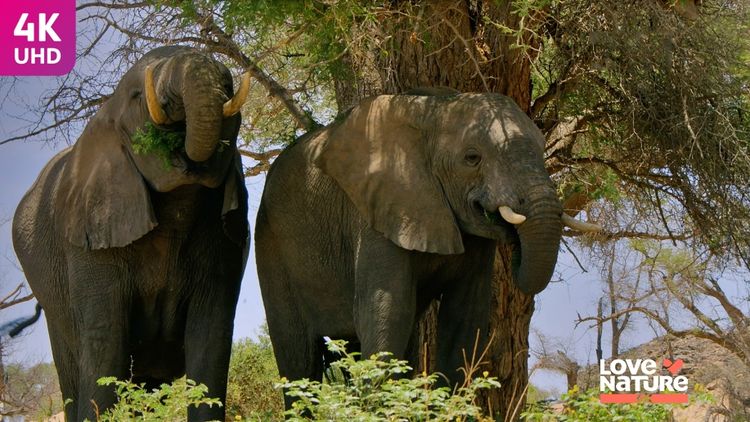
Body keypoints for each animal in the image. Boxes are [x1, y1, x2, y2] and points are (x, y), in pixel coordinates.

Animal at [12, 46, 250, 421]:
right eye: (139, 96)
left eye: (228, 88)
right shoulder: (89, 236)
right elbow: (106, 340)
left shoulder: (223, 234)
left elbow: (211, 335)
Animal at [255, 92, 599, 404]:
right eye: (472, 158)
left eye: (542, 150)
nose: (513, 235)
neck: (435, 110)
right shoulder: (377, 212)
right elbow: (386, 311)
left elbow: (465, 317)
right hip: (270, 242)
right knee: (298, 356)